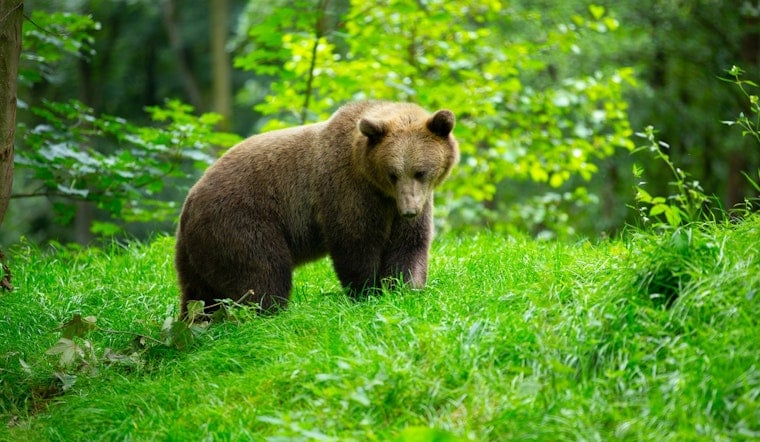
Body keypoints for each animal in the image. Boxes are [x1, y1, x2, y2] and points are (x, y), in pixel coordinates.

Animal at [175, 101, 459, 317]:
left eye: (420, 172)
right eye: (393, 174)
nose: (409, 210)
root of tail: (189, 200)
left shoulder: (410, 202)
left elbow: (409, 245)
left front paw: (404, 290)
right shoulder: (348, 190)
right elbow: (355, 242)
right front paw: (367, 292)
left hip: (198, 251)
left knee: (199, 292)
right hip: (242, 219)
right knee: (263, 271)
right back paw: (268, 314)